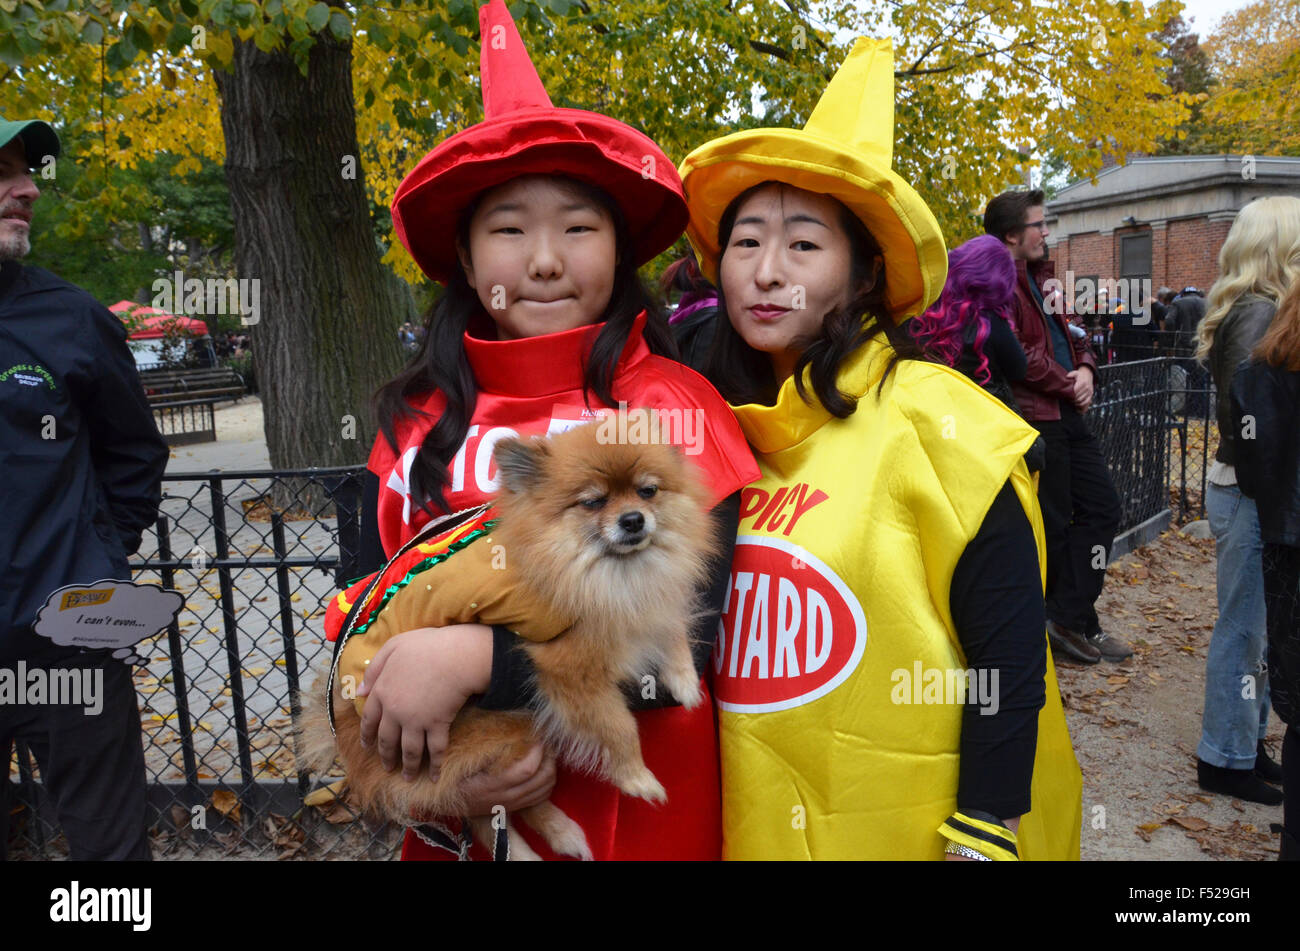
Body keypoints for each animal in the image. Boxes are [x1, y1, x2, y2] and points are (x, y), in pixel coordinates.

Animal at [297, 410, 722, 862]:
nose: (633, 519)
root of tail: (342, 726)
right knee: (484, 810)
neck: (605, 569)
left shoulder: (645, 604)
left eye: (648, 491)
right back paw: (532, 849)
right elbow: (617, 725)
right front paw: (638, 777)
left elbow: (672, 627)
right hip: (495, 727)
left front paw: (684, 681)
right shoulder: (570, 670)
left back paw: (562, 835)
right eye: (593, 501)